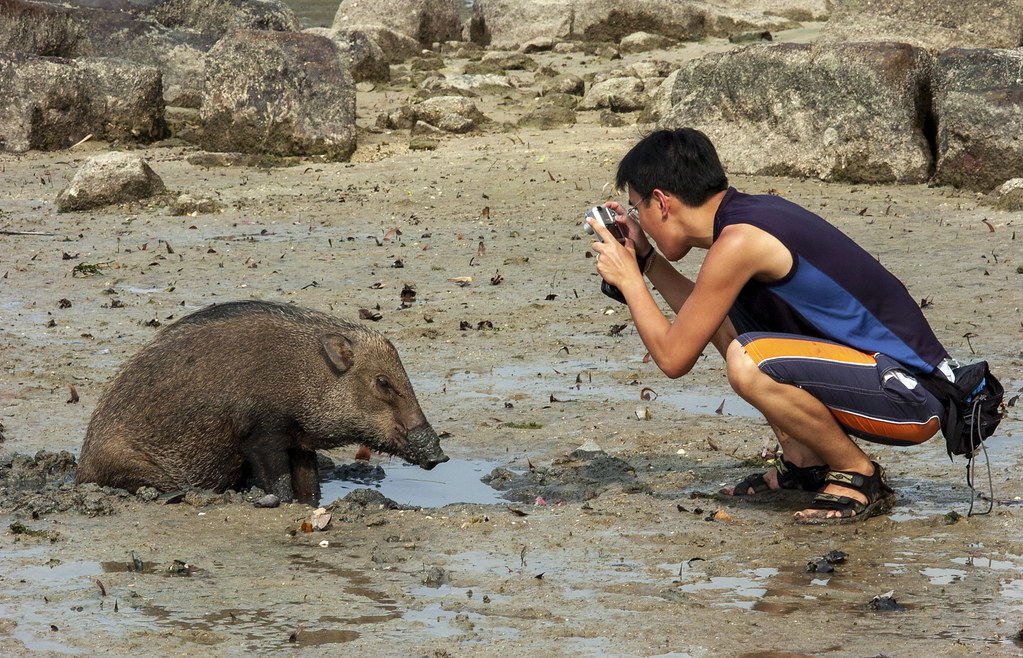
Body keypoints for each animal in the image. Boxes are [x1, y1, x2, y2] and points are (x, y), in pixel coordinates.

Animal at [75, 300, 447, 504]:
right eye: (383, 382)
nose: (440, 456)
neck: (304, 375)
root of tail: (81, 470)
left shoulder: (300, 443)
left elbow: (309, 487)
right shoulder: (260, 435)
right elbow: (280, 484)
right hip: (133, 465)